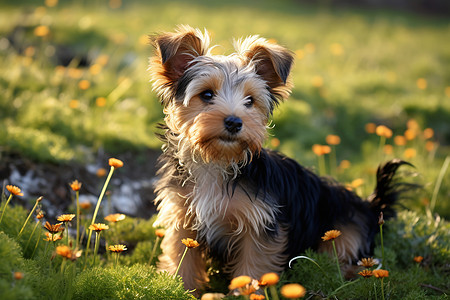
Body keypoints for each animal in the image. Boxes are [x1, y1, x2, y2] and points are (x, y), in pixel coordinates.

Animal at [149, 25, 410, 292]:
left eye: (250, 101)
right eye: (207, 95)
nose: (234, 122)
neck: (216, 162)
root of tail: (371, 206)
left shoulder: (259, 225)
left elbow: (252, 264)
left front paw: (245, 292)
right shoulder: (182, 217)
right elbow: (182, 255)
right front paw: (180, 287)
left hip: (344, 229)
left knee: (344, 258)